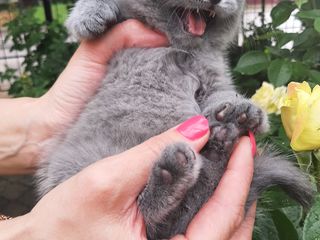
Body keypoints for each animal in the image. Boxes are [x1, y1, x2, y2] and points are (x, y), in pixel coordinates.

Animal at [36, 0, 314, 239]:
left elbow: (221, 95)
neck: (180, 47)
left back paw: (217, 146)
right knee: (148, 217)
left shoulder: (214, 79)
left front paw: (245, 110)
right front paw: (90, 15)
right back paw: (173, 172)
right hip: (73, 163)